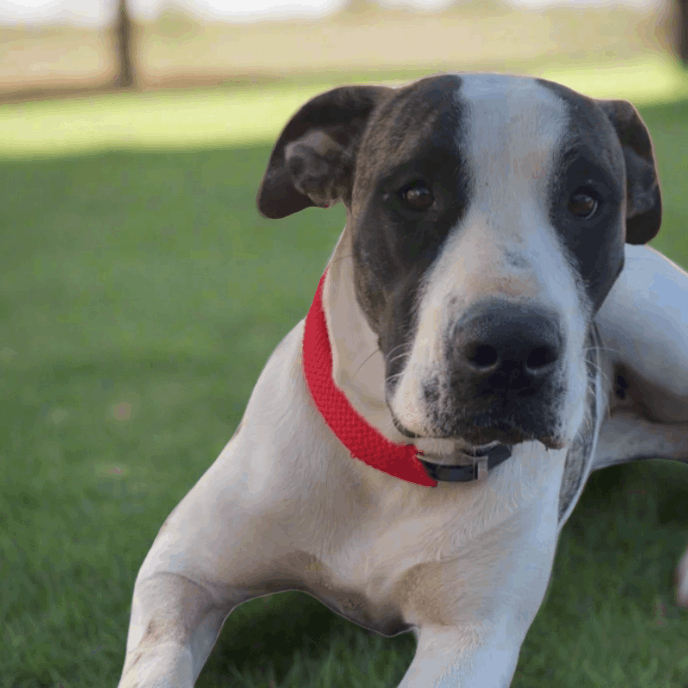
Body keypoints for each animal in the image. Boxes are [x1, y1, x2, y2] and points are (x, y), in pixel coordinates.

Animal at [118, 74, 688, 688]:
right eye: (415, 195)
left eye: (585, 201)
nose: (512, 347)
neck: (397, 462)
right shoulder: (180, 574)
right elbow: (158, 654)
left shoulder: (468, 640)